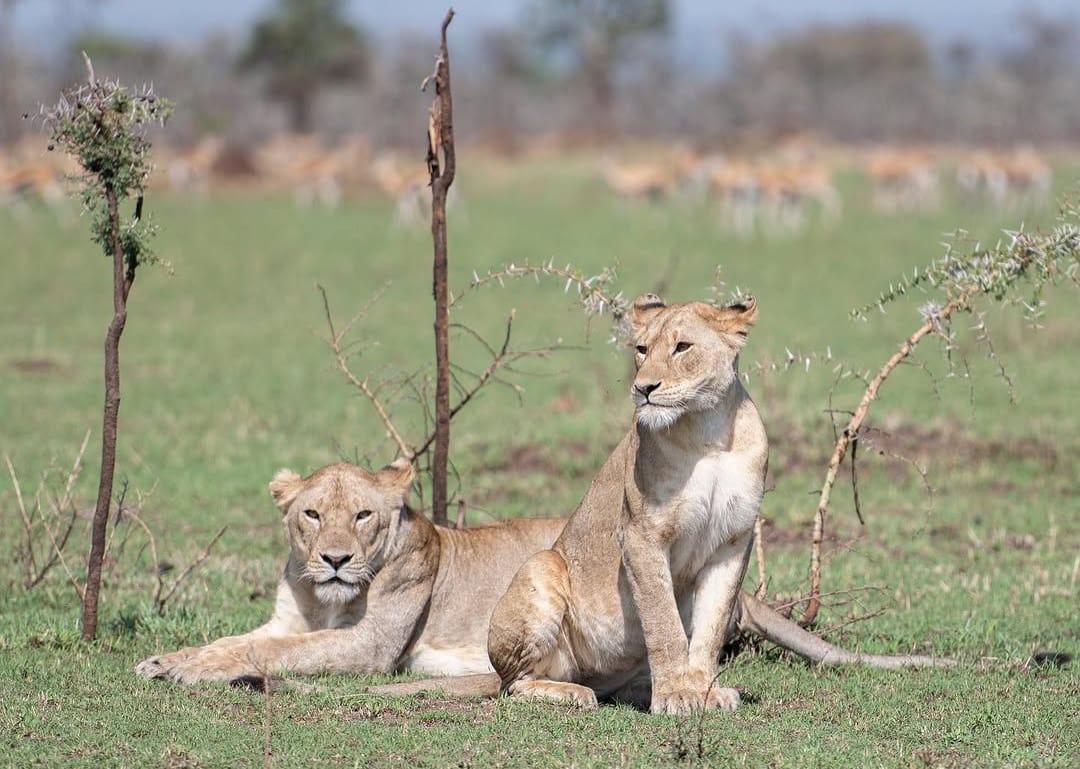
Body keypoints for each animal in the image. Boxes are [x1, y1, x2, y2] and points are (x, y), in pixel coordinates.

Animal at [135, 459, 565, 685]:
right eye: (313, 514)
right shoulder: (285, 622)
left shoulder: (370, 642)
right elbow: (232, 639)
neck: (321, 601)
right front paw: (166, 661)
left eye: (362, 515)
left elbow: (276, 648)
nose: (336, 559)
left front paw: (200, 667)